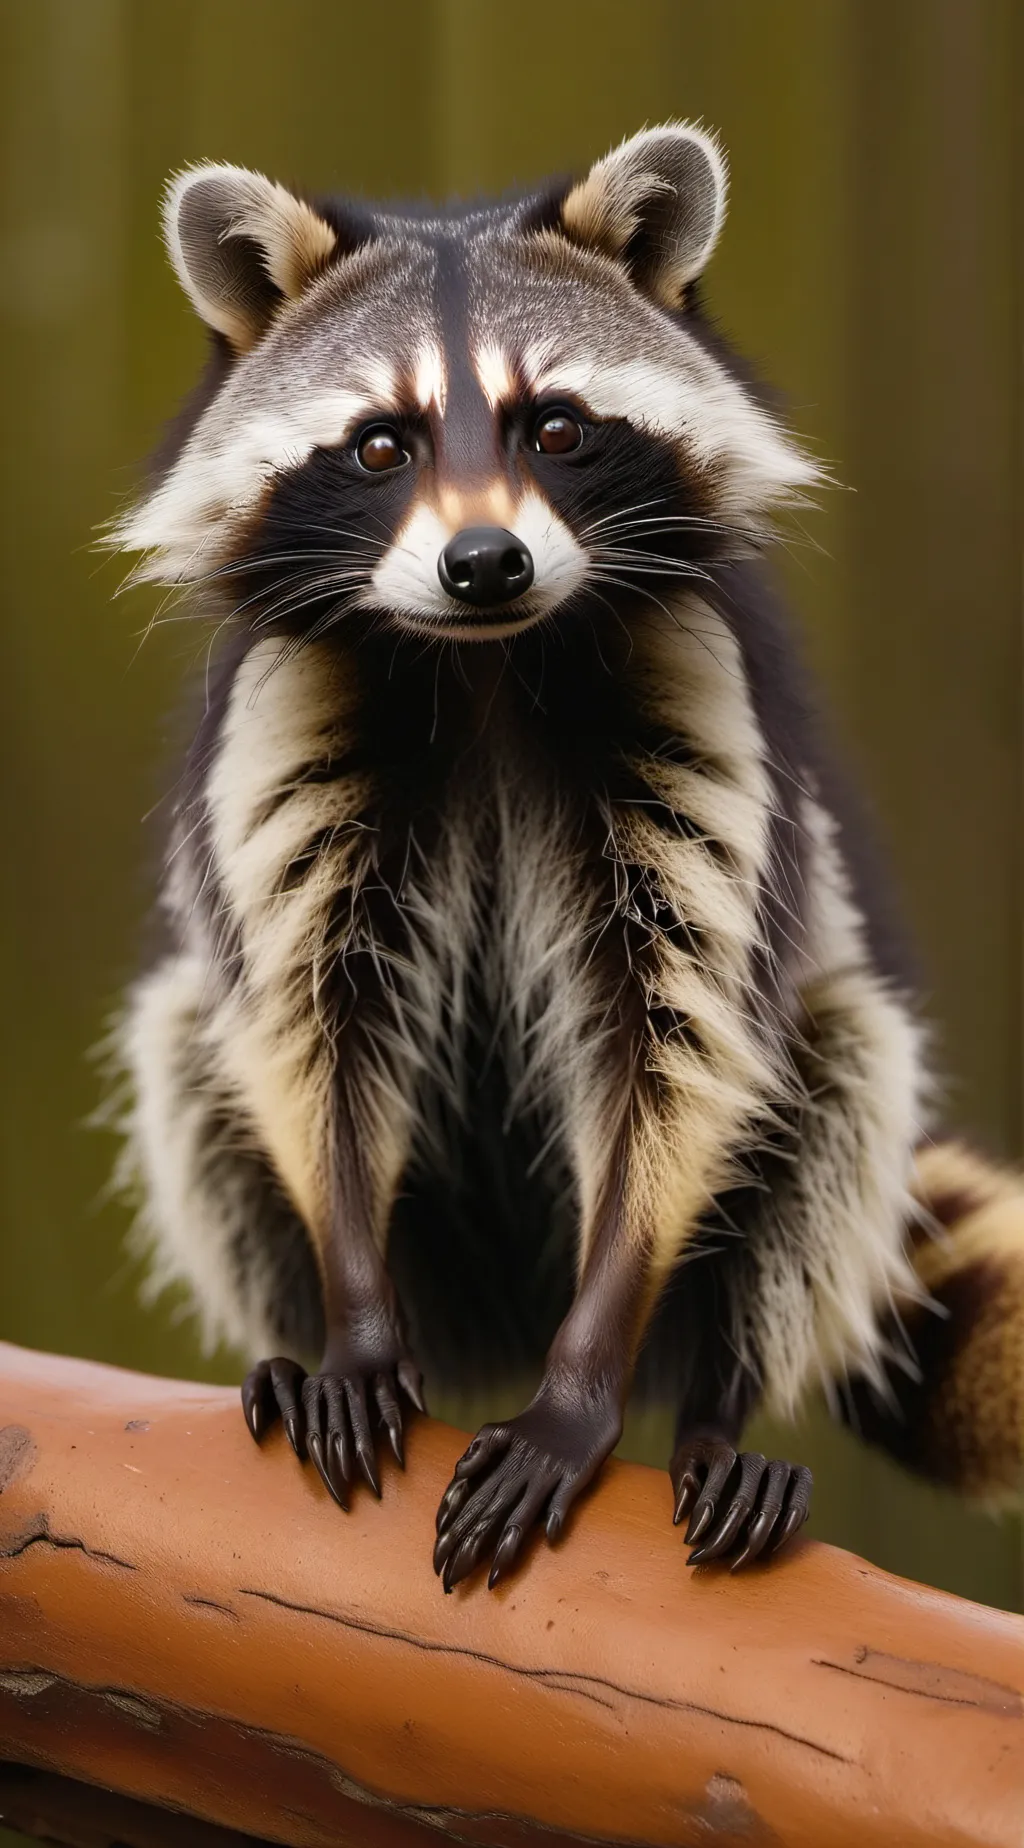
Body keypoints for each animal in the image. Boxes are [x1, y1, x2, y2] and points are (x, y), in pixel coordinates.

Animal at [113, 124, 1024, 1590]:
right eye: (381, 444)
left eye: (555, 427)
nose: (485, 563)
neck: (485, 660)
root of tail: (493, 1333)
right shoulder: (288, 711)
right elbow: (310, 1025)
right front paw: (351, 1325)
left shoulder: (696, 695)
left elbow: (677, 1042)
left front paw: (583, 1388)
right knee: (192, 1043)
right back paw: (297, 1346)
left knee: (839, 1067)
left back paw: (715, 1409)